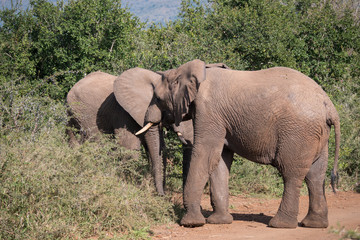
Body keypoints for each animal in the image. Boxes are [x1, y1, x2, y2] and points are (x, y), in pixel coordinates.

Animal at [134, 60, 340, 229]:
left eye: (157, 98)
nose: (161, 198)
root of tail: (328, 105)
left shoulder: (209, 111)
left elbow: (206, 154)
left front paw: (191, 223)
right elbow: (220, 160)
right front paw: (219, 222)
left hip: (298, 133)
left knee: (291, 174)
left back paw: (280, 225)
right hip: (318, 134)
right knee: (315, 175)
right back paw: (314, 224)